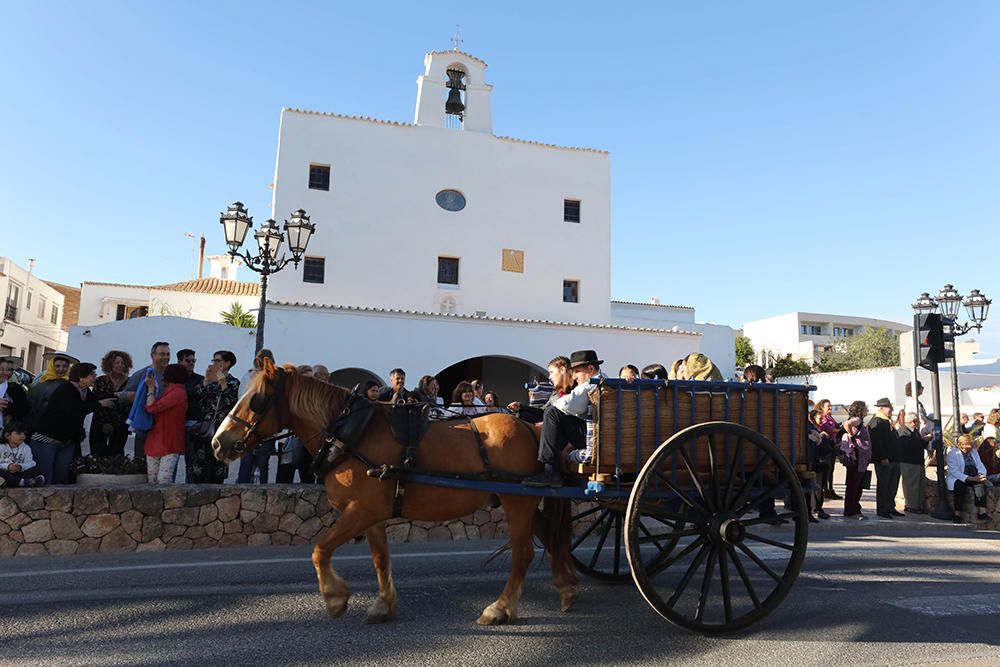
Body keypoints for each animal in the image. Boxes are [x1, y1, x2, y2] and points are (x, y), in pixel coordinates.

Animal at [211, 360, 580, 628]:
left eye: (256, 399)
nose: (218, 443)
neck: (351, 433)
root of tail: (532, 427)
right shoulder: (371, 512)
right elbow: (380, 558)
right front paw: (383, 604)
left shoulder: (360, 510)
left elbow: (319, 550)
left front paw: (335, 598)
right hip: (520, 501)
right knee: (549, 538)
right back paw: (566, 588)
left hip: (518, 503)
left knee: (524, 555)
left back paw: (500, 607)